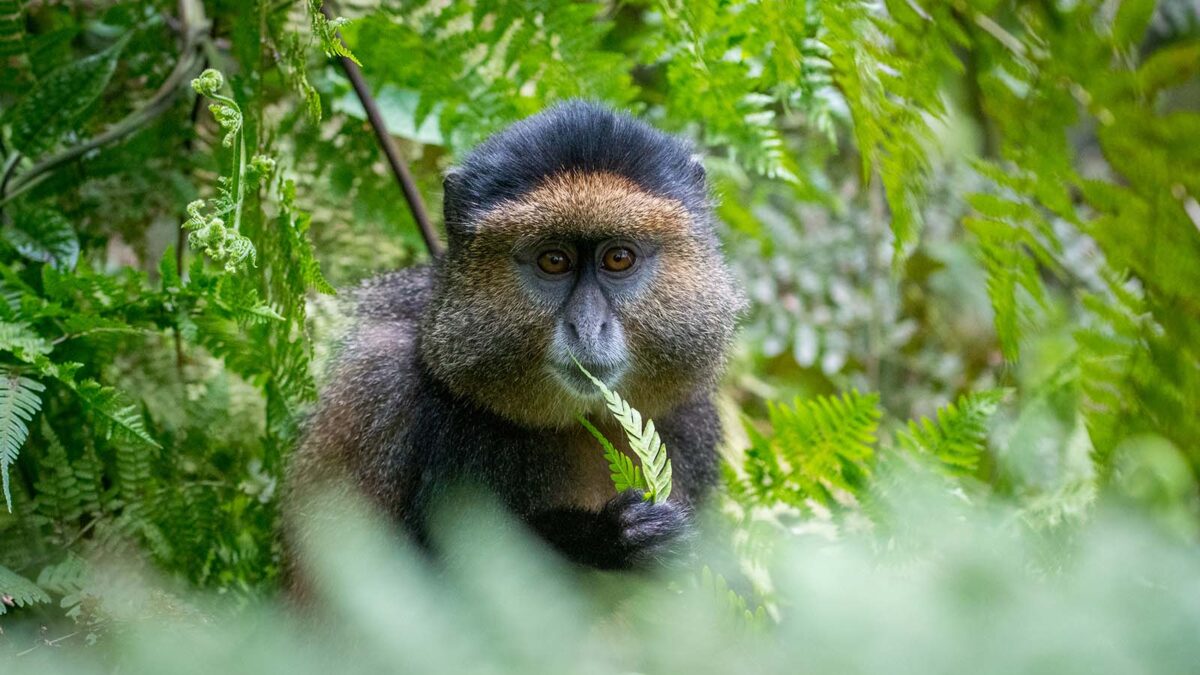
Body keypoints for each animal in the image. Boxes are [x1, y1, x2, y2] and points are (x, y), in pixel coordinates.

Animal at [283, 100, 744, 585]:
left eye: (619, 258)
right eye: (554, 260)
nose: (587, 326)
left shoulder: (692, 417)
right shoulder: (382, 387)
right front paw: (608, 536)